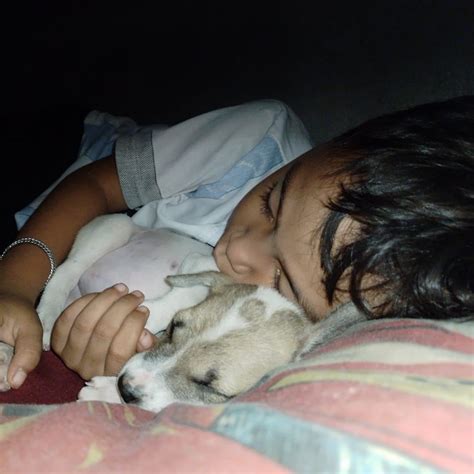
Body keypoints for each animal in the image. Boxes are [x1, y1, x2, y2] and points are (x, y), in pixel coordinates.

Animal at [0, 214, 366, 412]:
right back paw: (46, 317)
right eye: (176, 328)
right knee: (66, 270)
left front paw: (107, 392)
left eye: (209, 387)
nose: (124, 389)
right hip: (114, 227)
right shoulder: (200, 263)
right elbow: (178, 293)